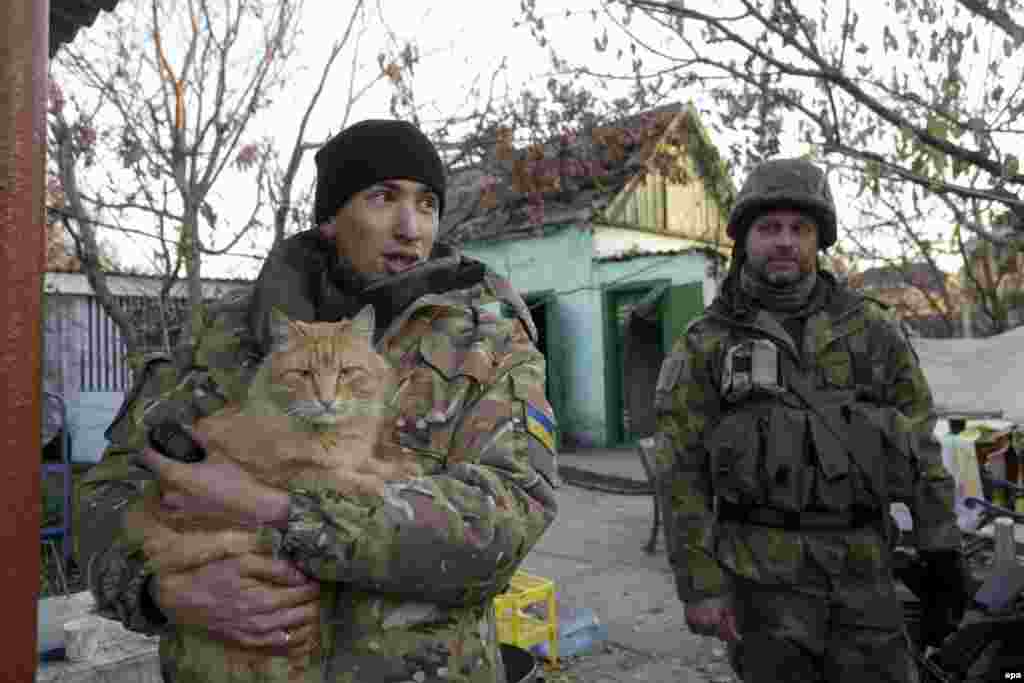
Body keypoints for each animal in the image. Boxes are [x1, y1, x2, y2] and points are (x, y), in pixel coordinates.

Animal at [123, 305, 419, 683]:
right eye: (304, 374)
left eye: (346, 372)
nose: (326, 401)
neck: (331, 437)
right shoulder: (284, 471)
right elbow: (331, 475)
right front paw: (377, 485)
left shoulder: (355, 456)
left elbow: (372, 464)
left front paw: (402, 468)